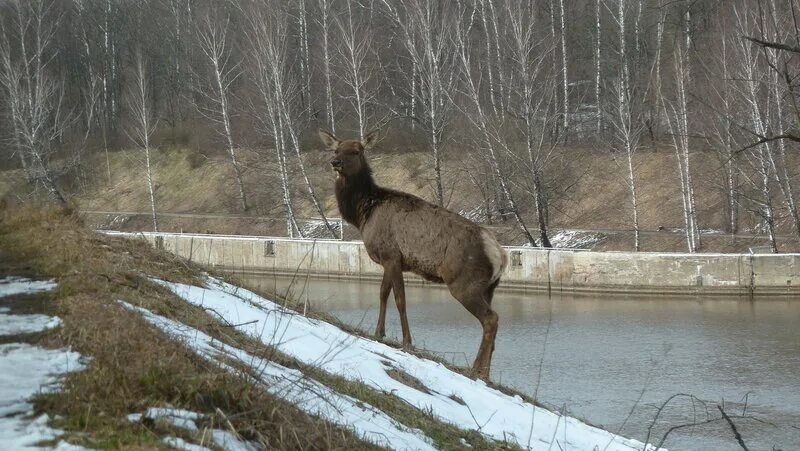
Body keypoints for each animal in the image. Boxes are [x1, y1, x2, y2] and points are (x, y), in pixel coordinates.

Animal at [318, 129, 506, 380]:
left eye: (357, 151)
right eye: (336, 149)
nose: (335, 162)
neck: (363, 214)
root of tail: (500, 255)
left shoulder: (392, 255)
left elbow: (400, 299)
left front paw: (407, 341)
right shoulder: (387, 259)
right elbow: (382, 294)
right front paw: (379, 332)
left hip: (463, 283)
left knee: (490, 319)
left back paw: (478, 370)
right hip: (489, 288)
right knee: (491, 321)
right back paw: (485, 372)